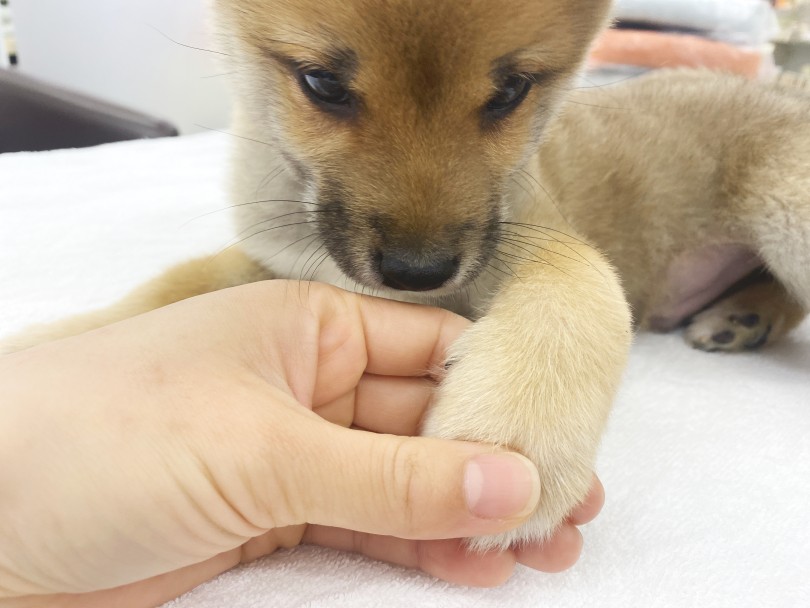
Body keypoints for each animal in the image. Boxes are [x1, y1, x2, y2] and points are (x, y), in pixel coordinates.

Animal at [6, 0, 808, 552]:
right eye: (323, 83)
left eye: (511, 91)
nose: (416, 273)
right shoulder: (274, 262)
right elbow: (168, 287)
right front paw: (51, 347)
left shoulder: (522, 230)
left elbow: (579, 271)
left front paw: (520, 427)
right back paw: (742, 316)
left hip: (782, 204)